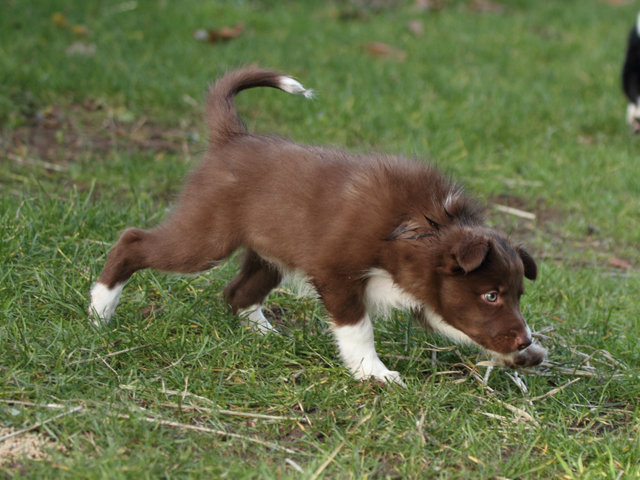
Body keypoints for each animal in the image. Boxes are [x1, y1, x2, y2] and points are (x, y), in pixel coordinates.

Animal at [89, 67, 546, 384]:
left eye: (517, 295)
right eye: (491, 294)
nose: (525, 340)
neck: (421, 226)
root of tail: (232, 137)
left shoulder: (428, 292)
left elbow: (461, 326)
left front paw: (523, 356)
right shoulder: (337, 272)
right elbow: (358, 328)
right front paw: (373, 373)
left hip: (271, 253)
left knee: (237, 293)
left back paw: (266, 335)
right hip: (205, 237)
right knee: (132, 241)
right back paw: (99, 312)